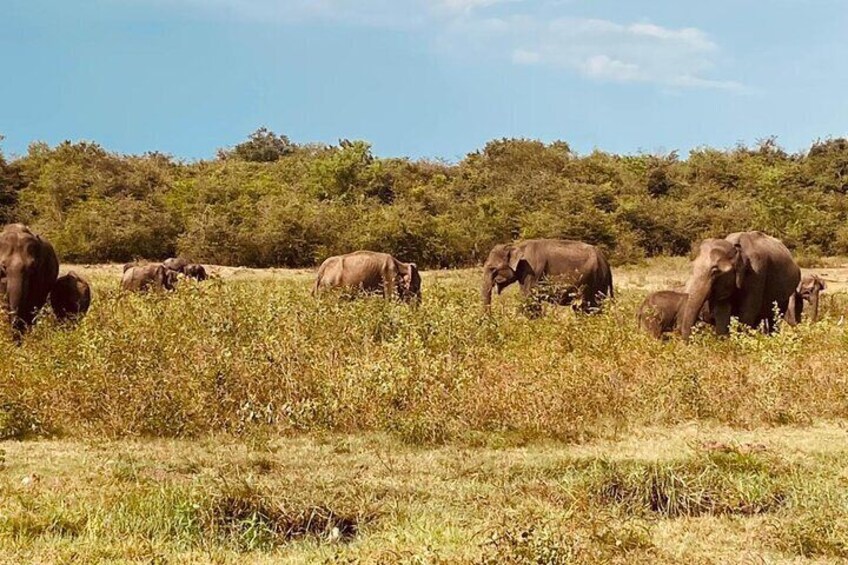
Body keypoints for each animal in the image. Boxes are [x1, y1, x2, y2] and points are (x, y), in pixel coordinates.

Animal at [480, 237, 612, 310]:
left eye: (492, 268)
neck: (516, 246)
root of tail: (606, 261)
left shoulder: (532, 270)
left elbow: (527, 296)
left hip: (595, 280)